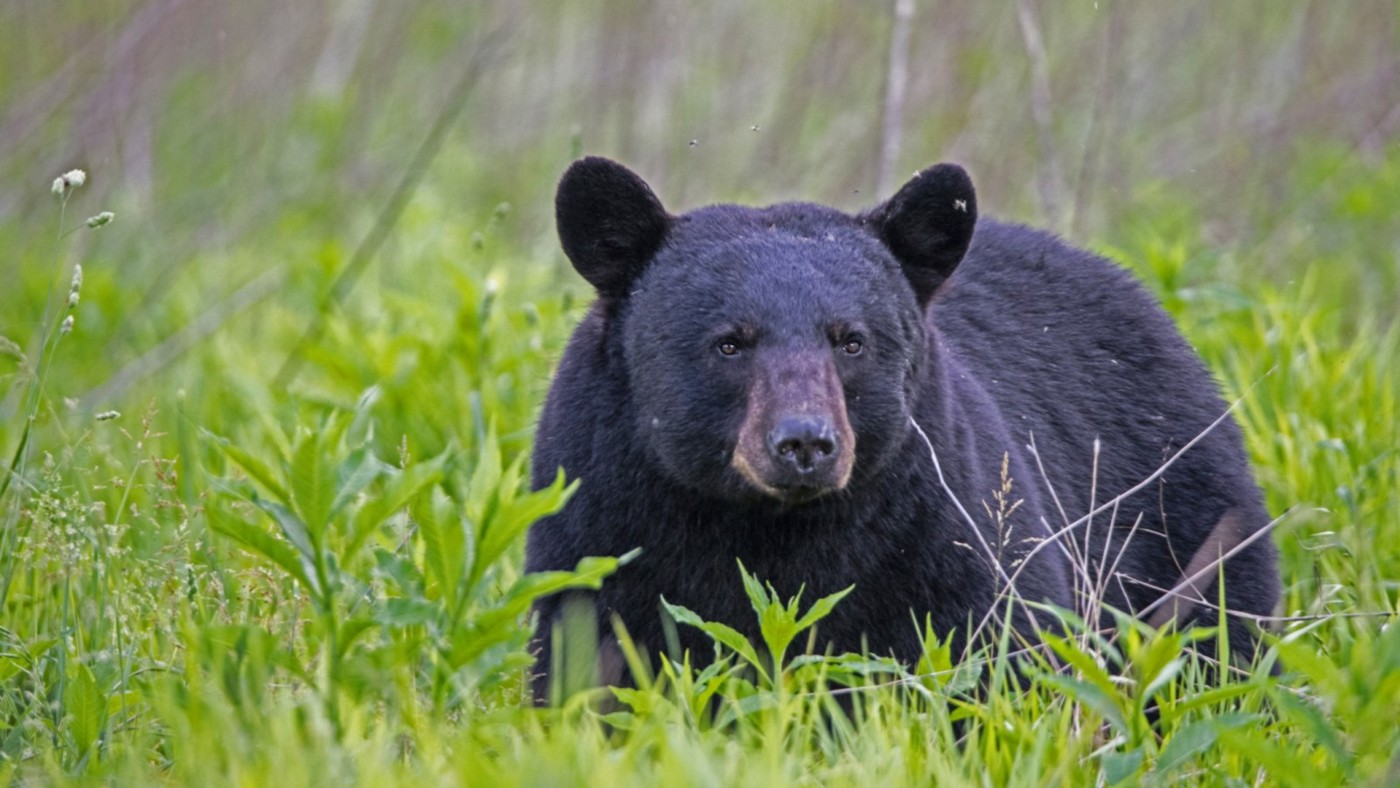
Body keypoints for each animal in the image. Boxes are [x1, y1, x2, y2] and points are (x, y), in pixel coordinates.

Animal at [523, 153, 1282, 702]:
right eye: (730, 342)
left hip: (1184, 531)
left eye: (851, 340)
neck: (769, 528)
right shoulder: (602, 521)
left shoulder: (942, 531)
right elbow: (590, 663)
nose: (805, 443)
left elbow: (1000, 658)